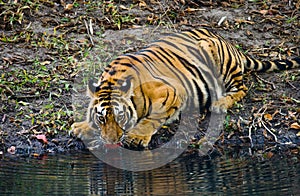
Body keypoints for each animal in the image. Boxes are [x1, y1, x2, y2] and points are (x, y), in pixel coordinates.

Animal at [71, 28, 298, 149]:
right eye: (102, 118)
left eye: (120, 117)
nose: (110, 142)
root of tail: (229, 42)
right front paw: (82, 126)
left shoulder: (172, 93)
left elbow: (153, 119)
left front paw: (136, 137)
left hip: (219, 59)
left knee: (242, 88)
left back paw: (219, 103)